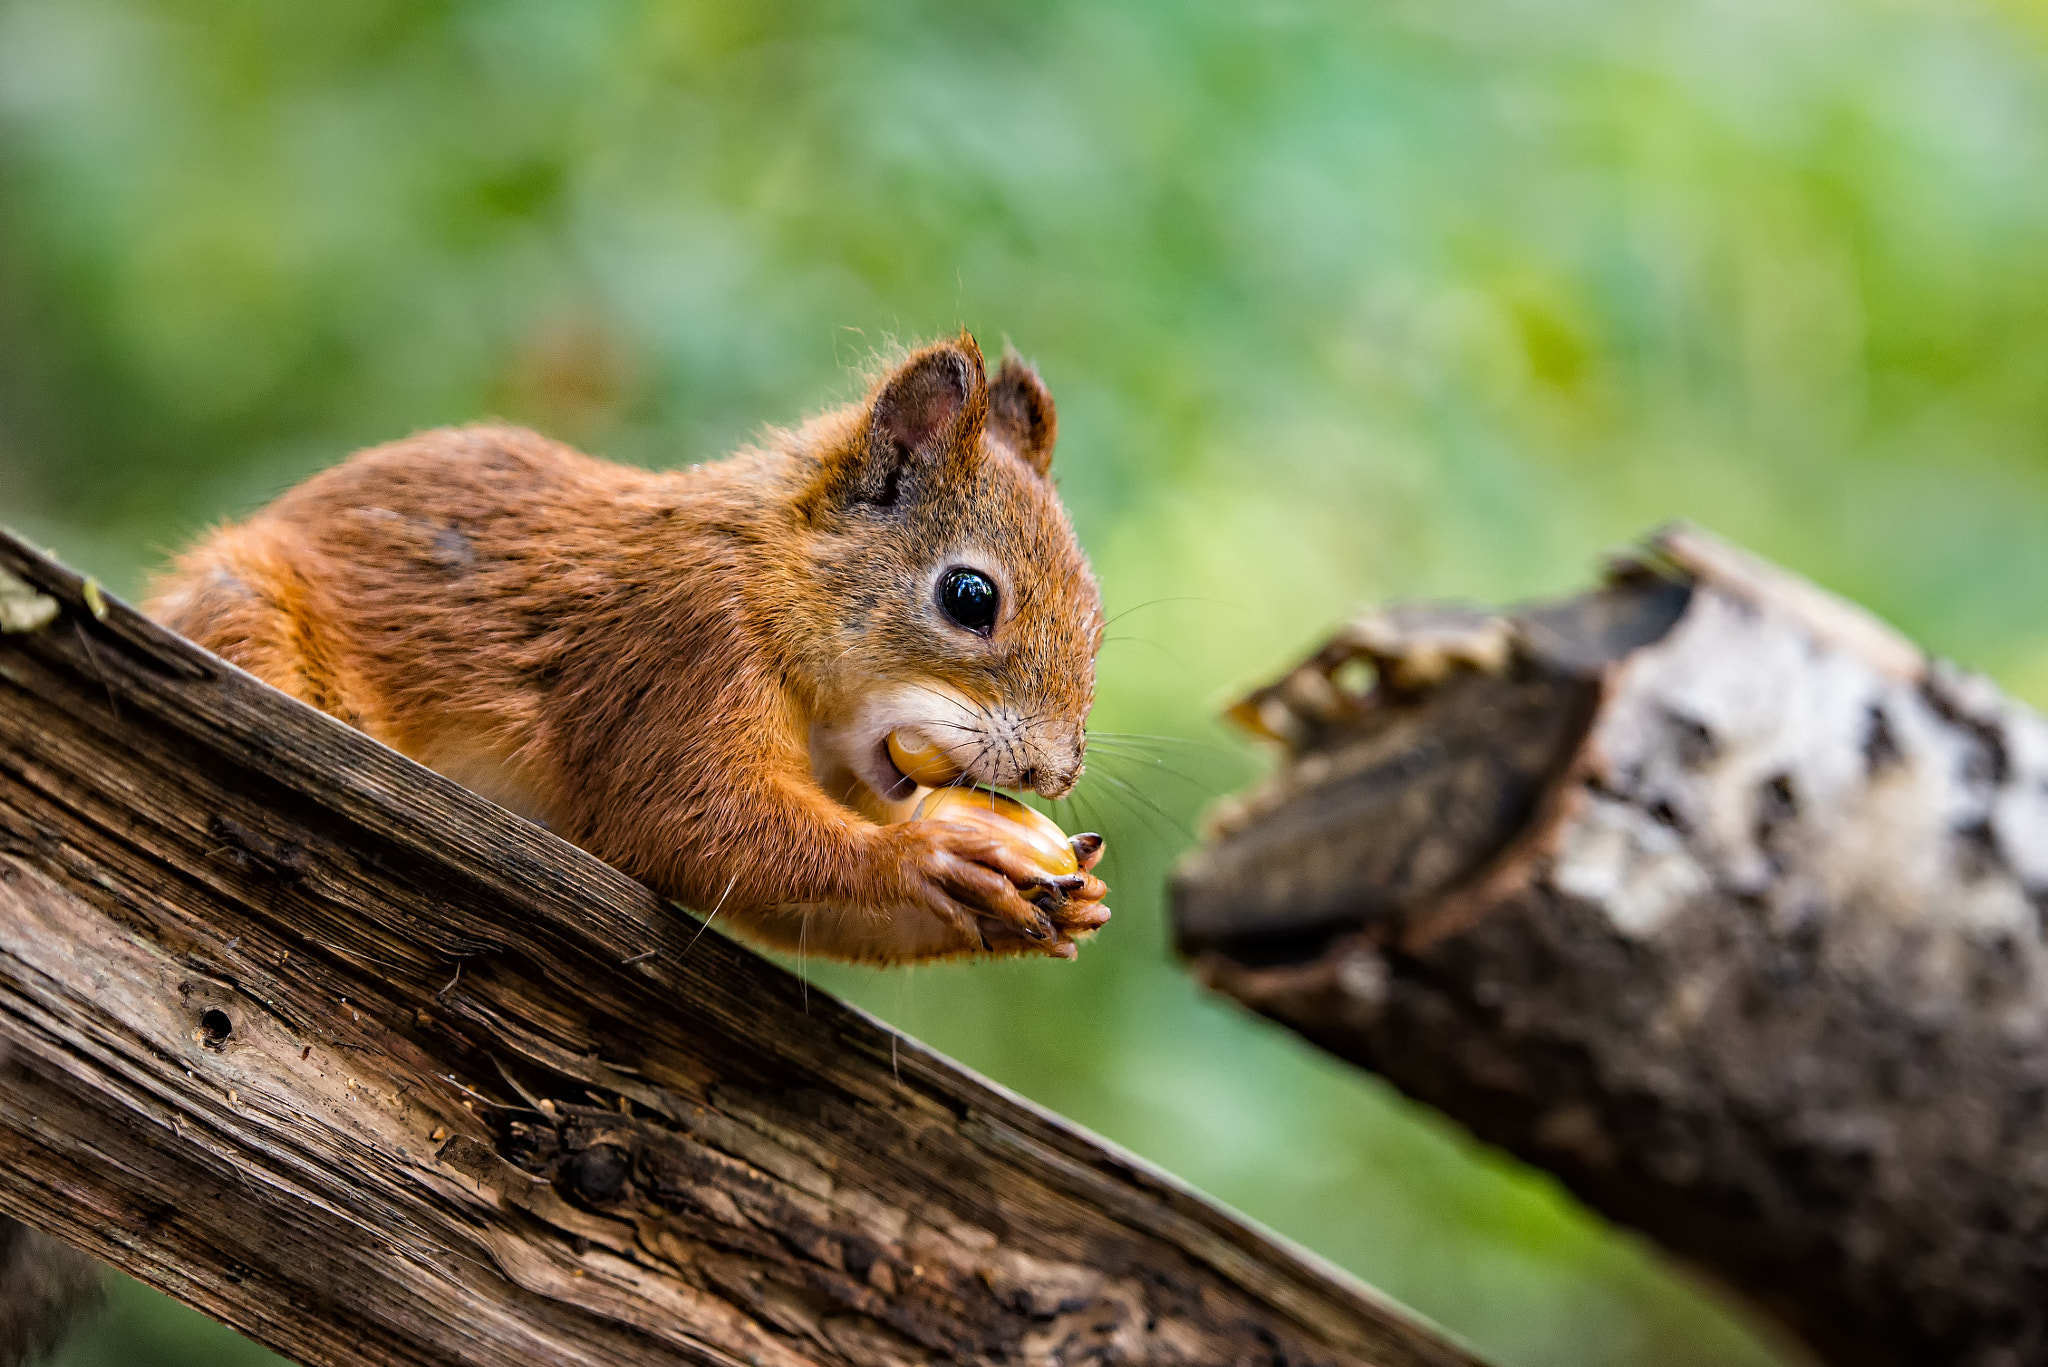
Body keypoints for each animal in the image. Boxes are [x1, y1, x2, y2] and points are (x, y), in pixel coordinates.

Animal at [146, 334, 1114, 963]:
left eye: (1098, 618)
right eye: (969, 597)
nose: (1056, 771)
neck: (767, 584)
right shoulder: (682, 648)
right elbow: (692, 821)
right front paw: (926, 858)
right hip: (244, 606)